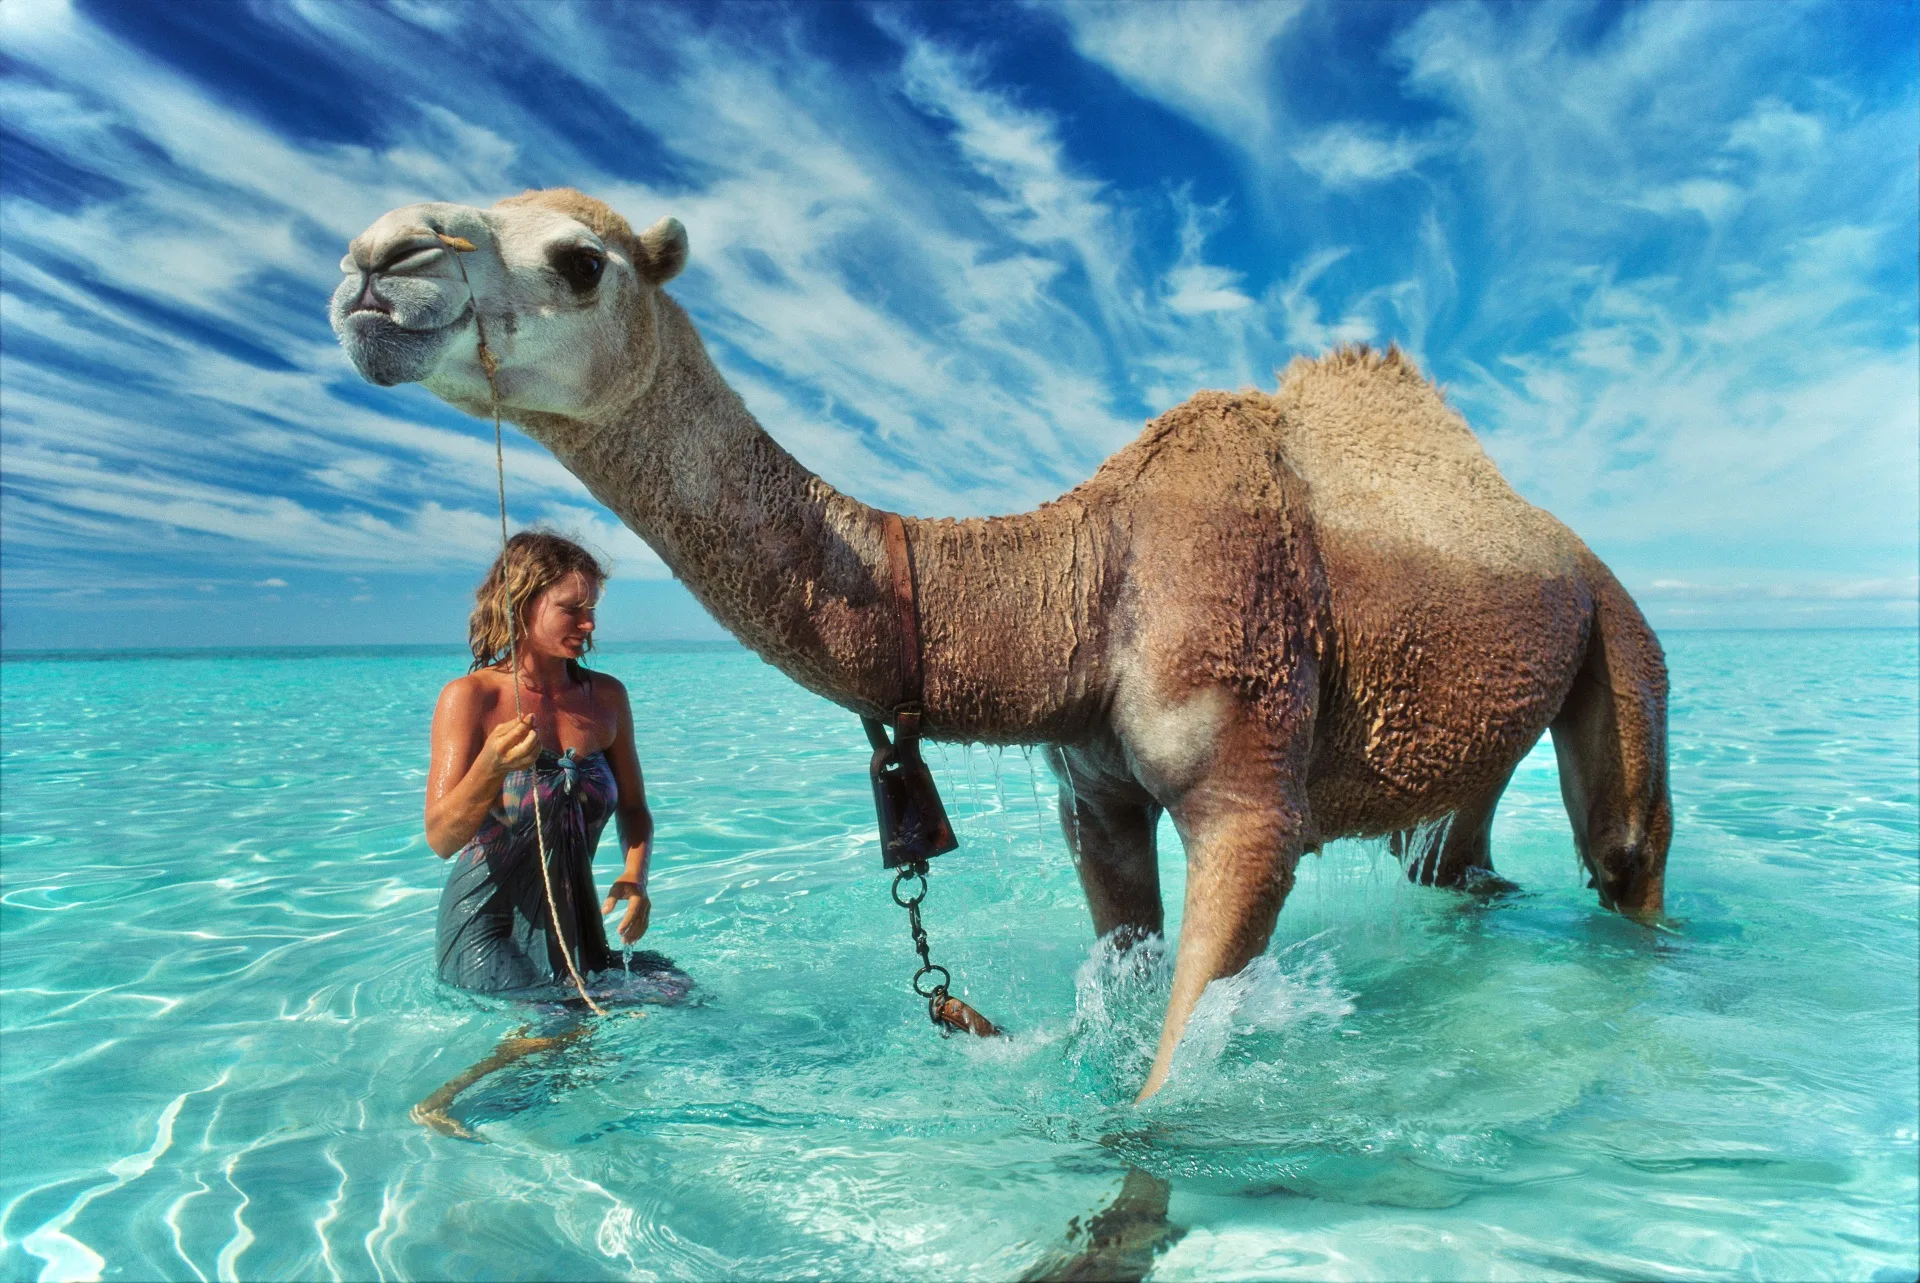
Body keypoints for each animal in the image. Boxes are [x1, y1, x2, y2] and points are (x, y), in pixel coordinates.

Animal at [331, 188, 1671, 1101]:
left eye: (578, 260)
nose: (373, 260)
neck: (1084, 577)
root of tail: (1555, 532)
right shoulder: (1093, 791)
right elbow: (1125, 970)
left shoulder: (1250, 791)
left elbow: (1170, 1076)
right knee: (1454, 853)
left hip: (1618, 627)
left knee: (1623, 844)